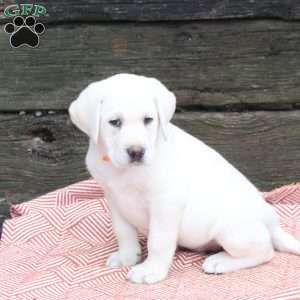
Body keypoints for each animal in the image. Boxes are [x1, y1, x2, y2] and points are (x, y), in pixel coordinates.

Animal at [69, 72, 300, 284]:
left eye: (148, 120)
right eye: (115, 122)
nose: (136, 152)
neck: (124, 172)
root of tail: (272, 223)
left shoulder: (165, 203)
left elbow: (158, 241)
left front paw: (151, 270)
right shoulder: (114, 199)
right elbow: (124, 232)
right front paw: (127, 257)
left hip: (232, 230)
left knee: (265, 251)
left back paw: (220, 261)